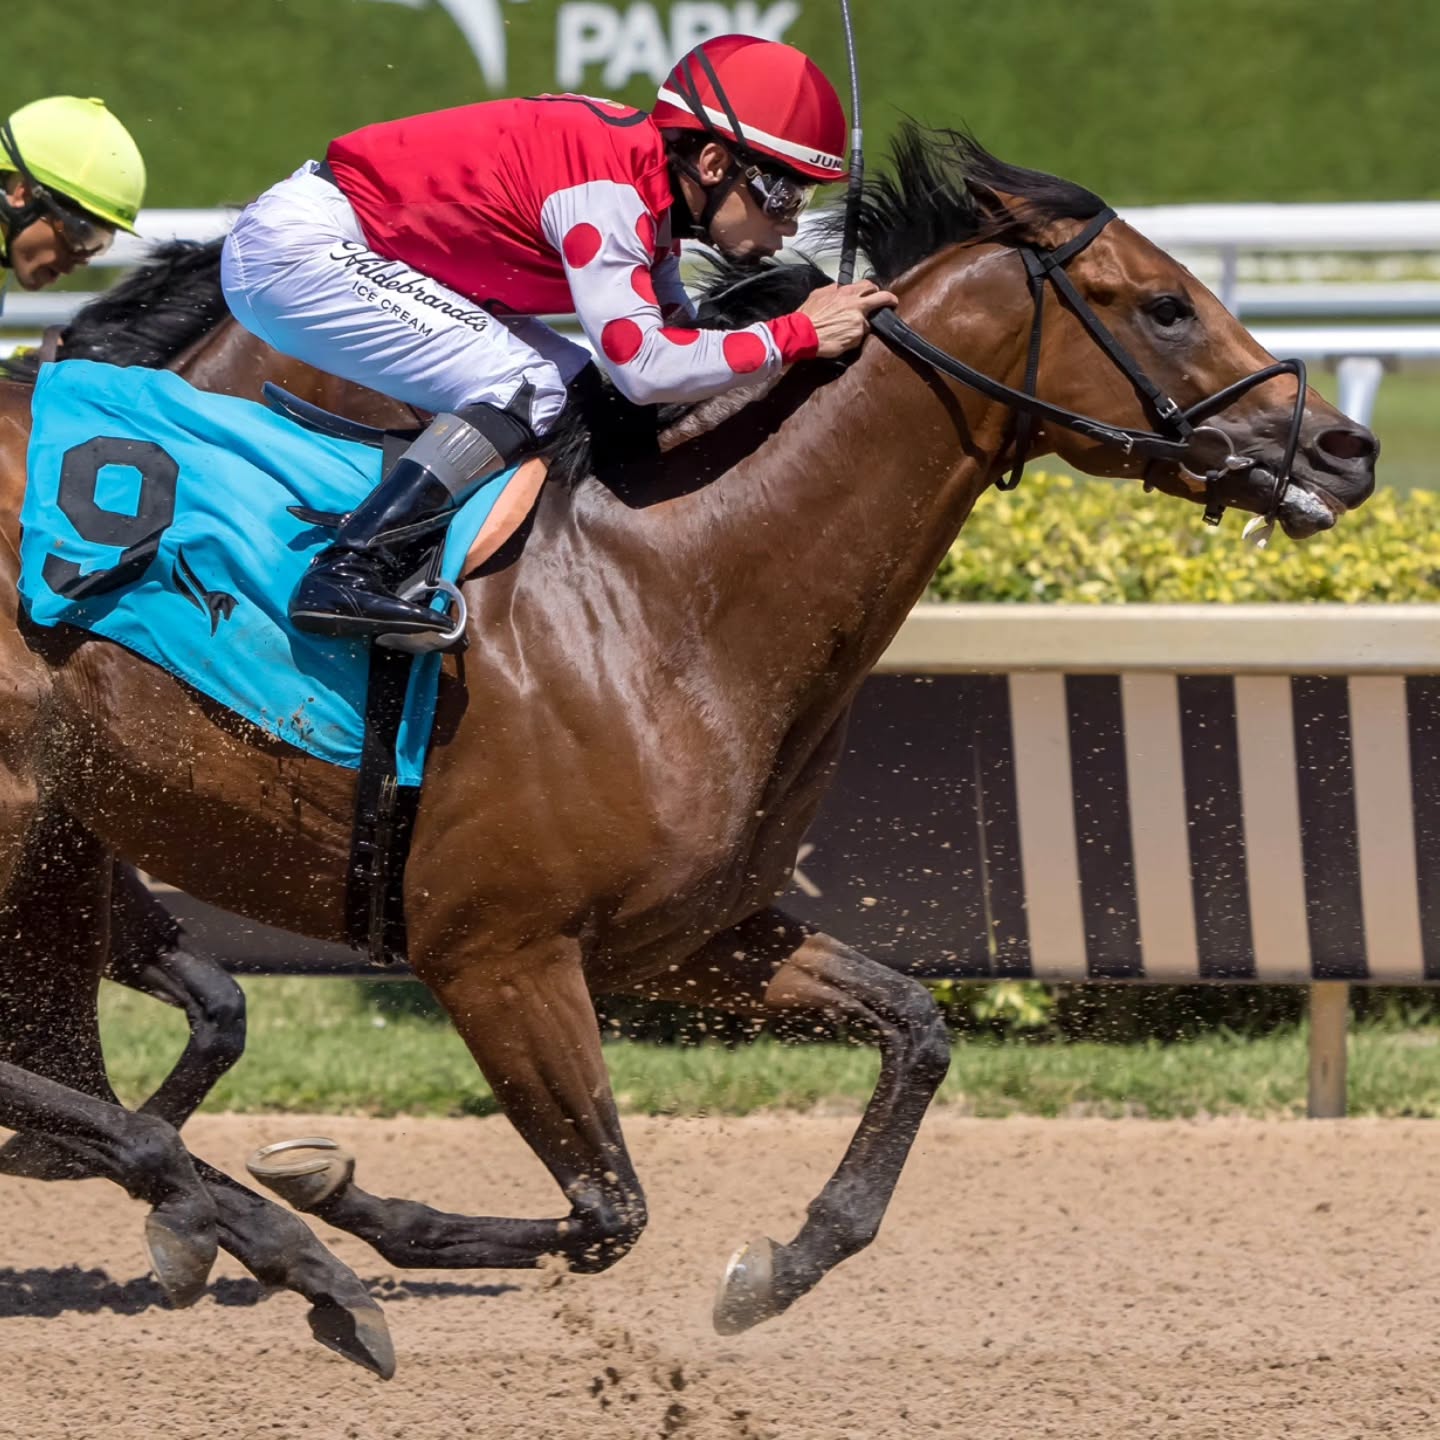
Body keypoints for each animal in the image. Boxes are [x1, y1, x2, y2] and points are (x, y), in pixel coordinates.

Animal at [0, 125, 1376, 1374]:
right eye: (1165, 304)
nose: (1344, 449)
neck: (662, 588)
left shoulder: (683, 936)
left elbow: (914, 1028)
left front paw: (783, 1263)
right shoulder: (495, 956)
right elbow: (610, 1209)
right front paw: (336, 1200)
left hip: (56, 845)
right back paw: (268, 1242)